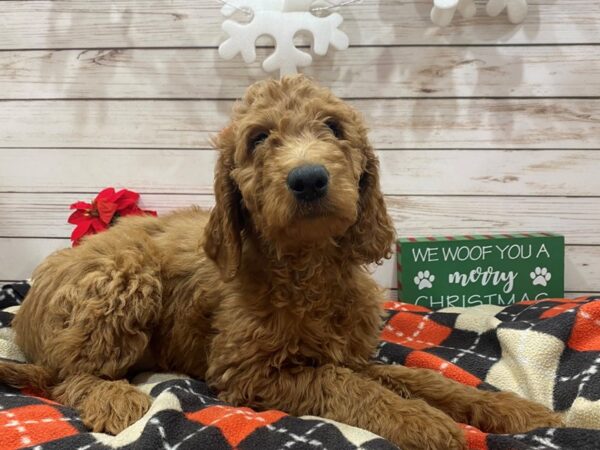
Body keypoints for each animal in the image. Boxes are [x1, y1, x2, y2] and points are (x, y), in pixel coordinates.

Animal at [1, 75, 564, 448]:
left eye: (333, 127)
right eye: (258, 138)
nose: (309, 178)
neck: (306, 267)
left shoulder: (350, 353)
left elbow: (417, 378)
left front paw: (508, 408)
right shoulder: (247, 372)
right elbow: (344, 383)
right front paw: (422, 423)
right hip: (123, 276)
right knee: (69, 376)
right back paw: (115, 400)